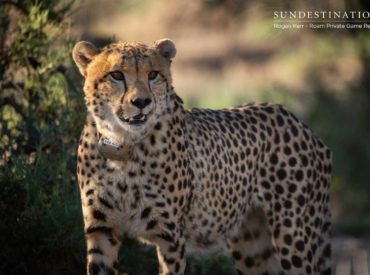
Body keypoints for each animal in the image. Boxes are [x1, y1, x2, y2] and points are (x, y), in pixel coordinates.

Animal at [73, 38, 332, 275]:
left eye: (153, 74)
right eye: (116, 75)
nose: (141, 102)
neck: (122, 145)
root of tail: (298, 121)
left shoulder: (170, 236)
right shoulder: (101, 230)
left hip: (292, 236)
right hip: (253, 246)